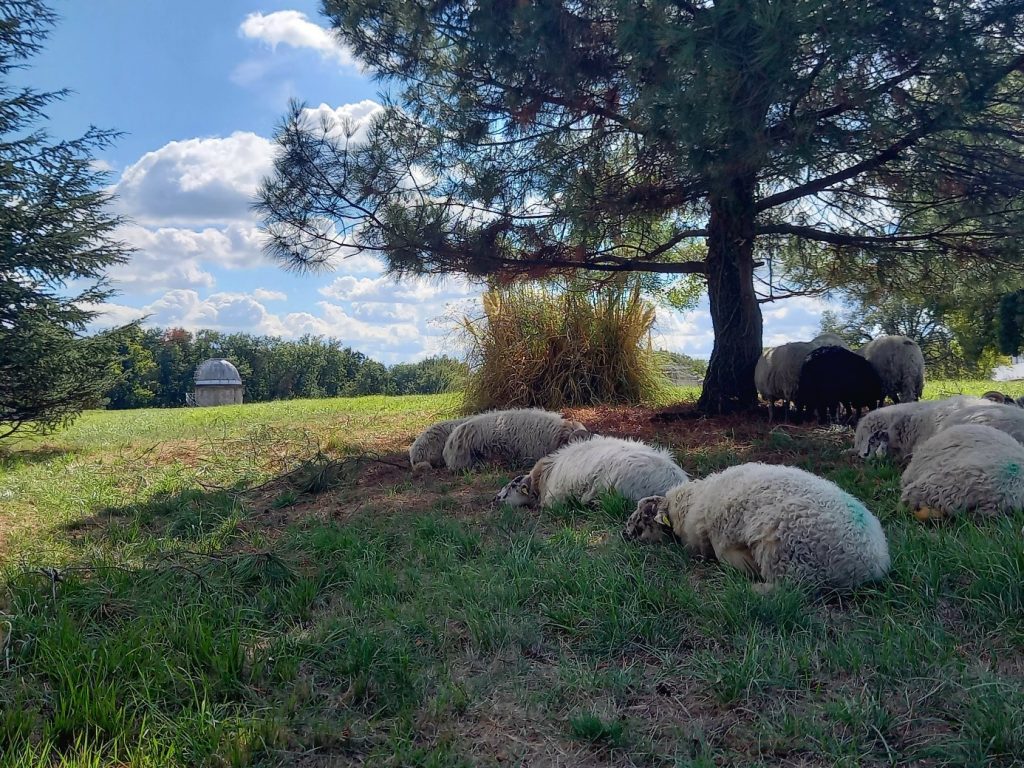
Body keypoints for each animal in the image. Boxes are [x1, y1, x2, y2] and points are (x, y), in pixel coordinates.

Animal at [618, 462, 892, 593]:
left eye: (642, 519)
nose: (624, 534)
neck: (691, 501)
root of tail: (873, 565)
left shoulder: (718, 539)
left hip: (787, 554)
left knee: (790, 590)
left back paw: (755, 588)